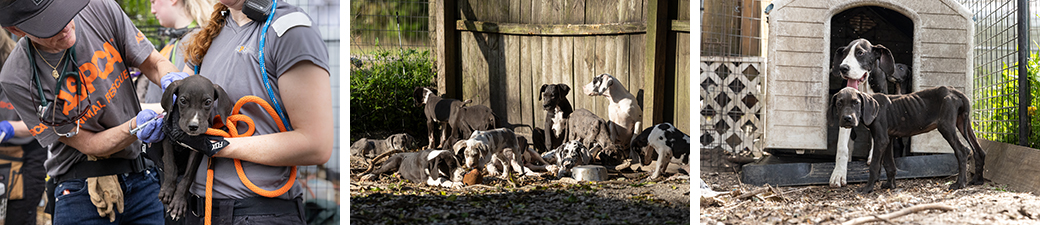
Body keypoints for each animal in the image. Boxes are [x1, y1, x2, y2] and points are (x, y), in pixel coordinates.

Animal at [158, 75, 231, 219]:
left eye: (208, 102)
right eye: (182, 100)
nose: (193, 126)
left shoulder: (197, 150)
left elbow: (187, 176)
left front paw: (178, 202)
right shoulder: (167, 136)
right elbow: (170, 165)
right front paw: (167, 189)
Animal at [832, 86, 985, 193]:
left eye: (856, 103)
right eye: (839, 103)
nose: (847, 119)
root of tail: (956, 92)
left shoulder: (881, 139)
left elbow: (875, 166)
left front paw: (867, 189)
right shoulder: (888, 139)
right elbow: (889, 164)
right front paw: (890, 185)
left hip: (946, 126)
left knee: (963, 151)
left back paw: (960, 184)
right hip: (963, 123)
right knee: (979, 151)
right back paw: (978, 180)